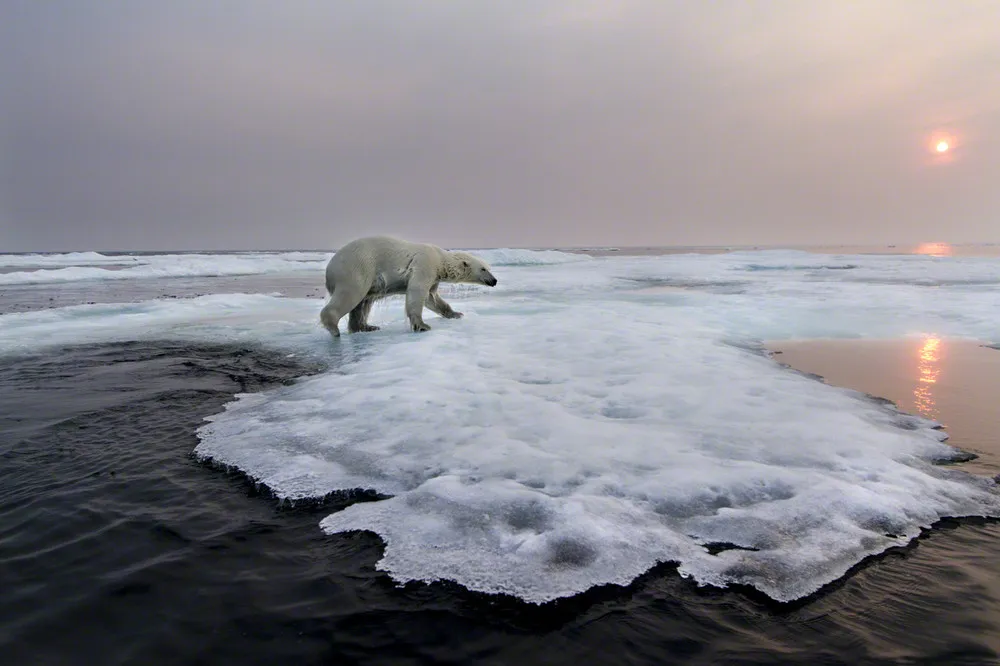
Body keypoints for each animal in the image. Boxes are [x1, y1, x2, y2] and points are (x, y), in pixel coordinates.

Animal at [319, 235, 498, 337]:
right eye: (483, 269)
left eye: (488, 268)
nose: (495, 280)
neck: (440, 258)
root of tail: (329, 268)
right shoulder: (425, 264)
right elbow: (417, 291)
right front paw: (422, 325)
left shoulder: (435, 276)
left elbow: (432, 298)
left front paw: (456, 314)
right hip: (357, 267)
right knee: (352, 294)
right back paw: (334, 328)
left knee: (363, 303)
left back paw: (367, 327)